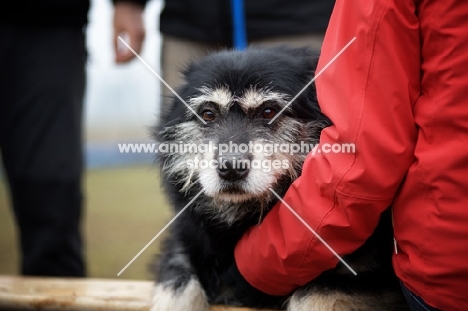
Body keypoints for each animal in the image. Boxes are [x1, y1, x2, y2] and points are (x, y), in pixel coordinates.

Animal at [153, 47, 406, 311]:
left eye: (269, 111)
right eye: (208, 114)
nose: (231, 167)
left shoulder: (379, 280)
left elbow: (313, 294)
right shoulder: (181, 246)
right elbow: (177, 286)